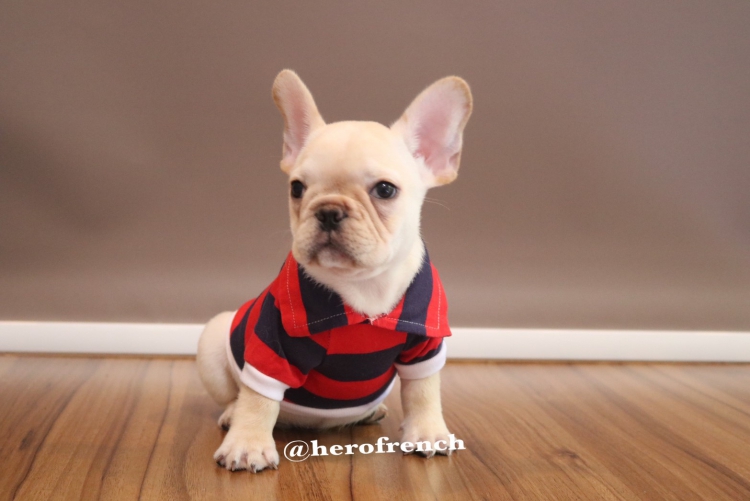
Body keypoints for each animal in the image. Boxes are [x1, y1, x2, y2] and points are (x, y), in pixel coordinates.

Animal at [196, 70, 472, 472]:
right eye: (297, 188)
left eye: (385, 190)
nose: (327, 211)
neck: (366, 285)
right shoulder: (272, 347)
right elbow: (258, 398)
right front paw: (246, 444)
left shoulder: (426, 342)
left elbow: (423, 392)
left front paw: (427, 432)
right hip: (215, 339)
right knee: (238, 395)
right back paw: (232, 416)